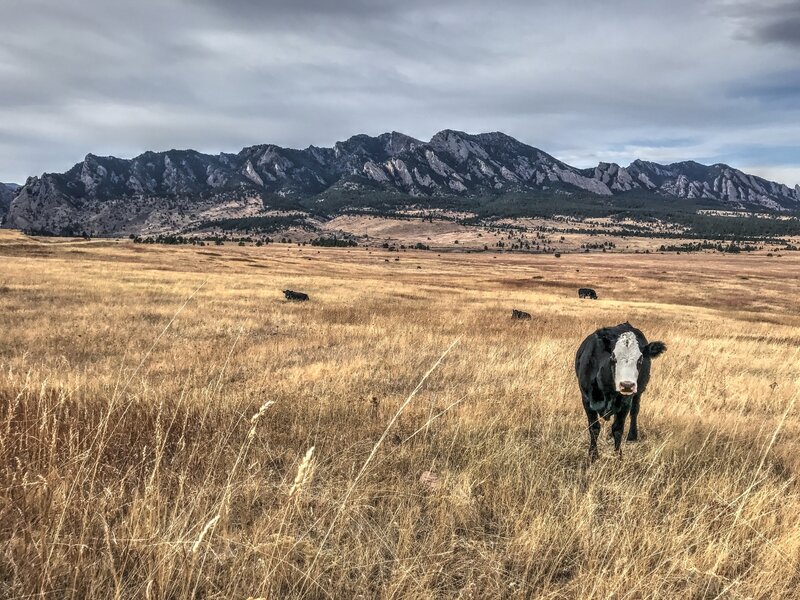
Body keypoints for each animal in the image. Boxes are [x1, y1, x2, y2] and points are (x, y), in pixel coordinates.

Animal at [572, 324, 664, 460]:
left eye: (640, 360)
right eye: (613, 358)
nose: (627, 385)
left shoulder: (625, 403)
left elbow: (618, 429)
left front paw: (618, 456)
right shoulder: (586, 400)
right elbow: (594, 428)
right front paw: (593, 455)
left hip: (638, 393)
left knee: (635, 411)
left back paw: (632, 436)